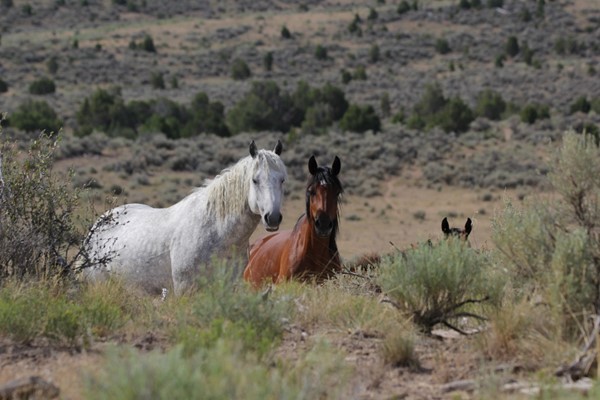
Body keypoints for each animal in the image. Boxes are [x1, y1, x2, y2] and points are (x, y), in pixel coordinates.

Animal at [82, 140, 288, 294]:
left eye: (282, 180)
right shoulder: (184, 288)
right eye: (255, 180)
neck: (216, 232)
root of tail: (97, 227)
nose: (272, 218)